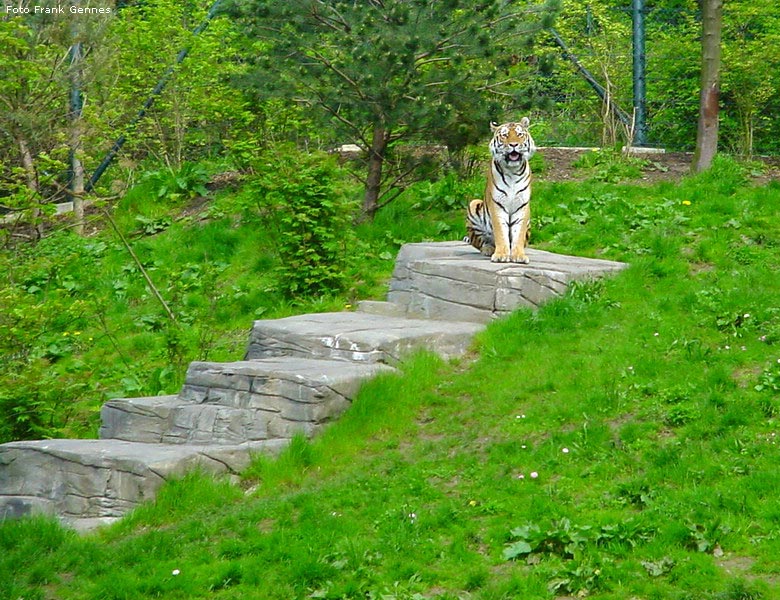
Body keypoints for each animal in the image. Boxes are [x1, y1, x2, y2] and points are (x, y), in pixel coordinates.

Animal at [466, 118, 532, 264]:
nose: (514, 145)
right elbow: (501, 232)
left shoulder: (522, 206)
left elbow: (518, 234)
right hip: (474, 204)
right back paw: (488, 249)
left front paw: (519, 255)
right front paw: (501, 255)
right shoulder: (497, 206)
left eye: (519, 134)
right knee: (478, 241)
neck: (513, 171)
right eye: (505, 135)